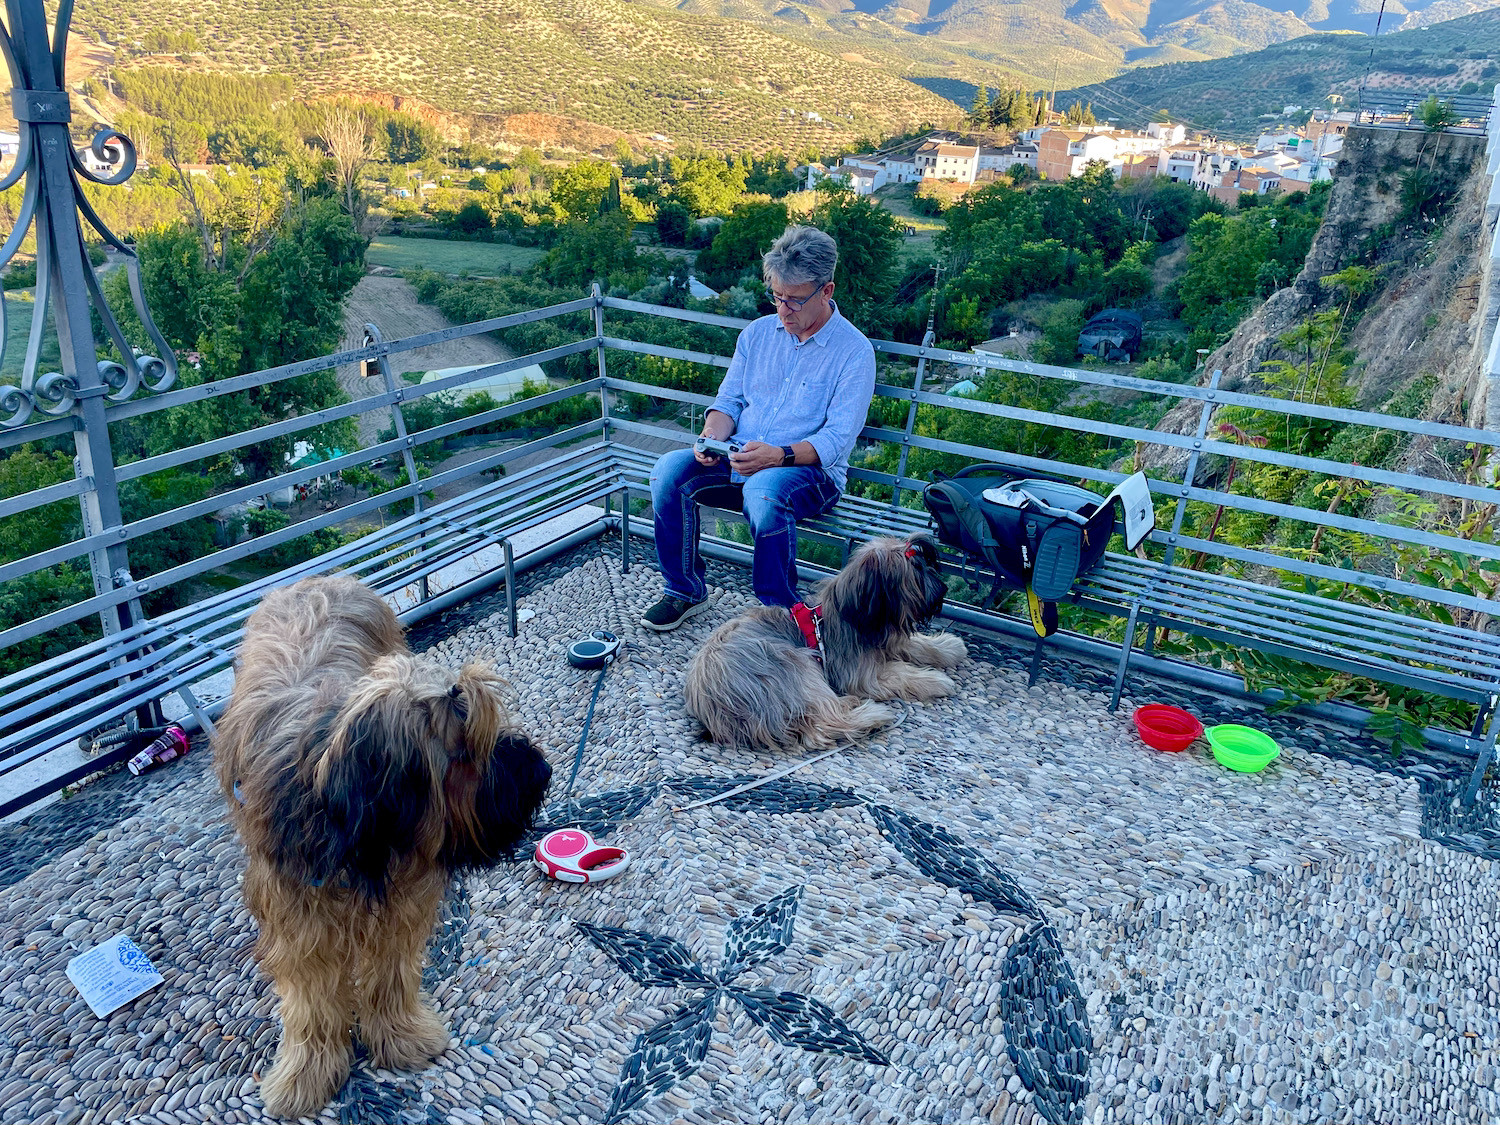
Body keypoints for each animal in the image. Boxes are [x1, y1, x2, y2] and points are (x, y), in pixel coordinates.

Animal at [214, 574, 551, 1119]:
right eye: (465, 753)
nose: (541, 771)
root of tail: (319, 578)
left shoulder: (401, 895)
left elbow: (389, 971)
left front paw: (400, 1035)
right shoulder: (296, 909)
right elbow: (310, 997)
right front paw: (305, 1074)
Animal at [685, 536, 966, 750]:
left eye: (925, 566)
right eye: (916, 573)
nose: (942, 590)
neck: (854, 614)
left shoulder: (886, 640)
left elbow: (916, 644)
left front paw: (950, 646)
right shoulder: (859, 671)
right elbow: (898, 673)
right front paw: (936, 680)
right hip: (790, 663)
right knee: (822, 725)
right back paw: (872, 716)